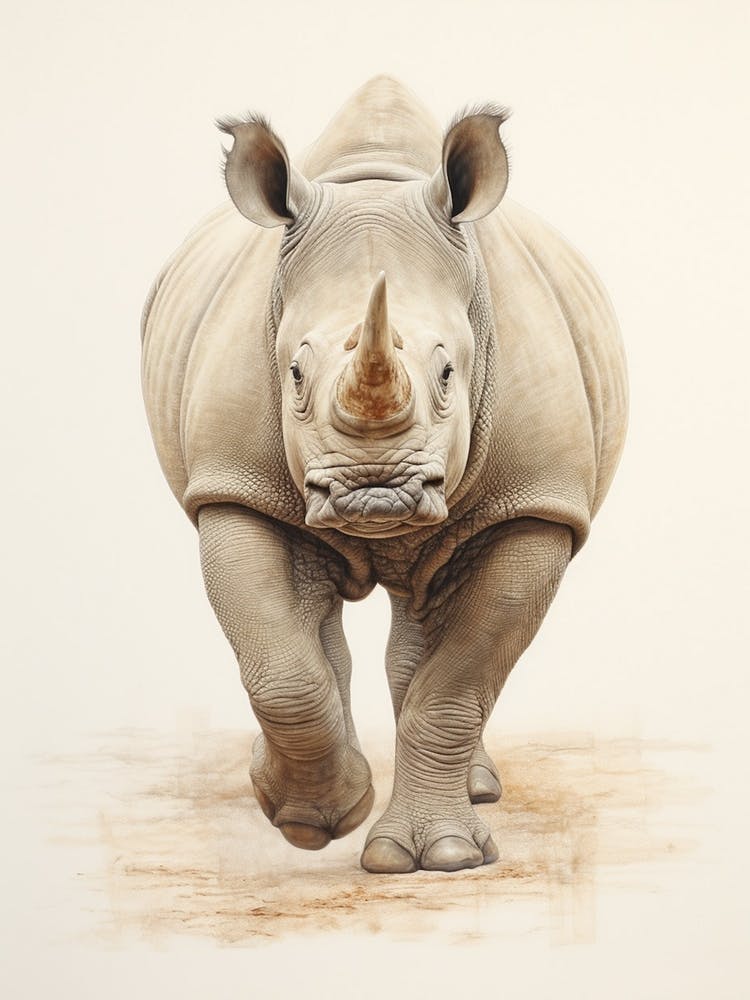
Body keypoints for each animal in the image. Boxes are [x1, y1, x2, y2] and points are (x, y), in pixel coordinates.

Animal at [141, 76, 627, 874]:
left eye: (449, 372)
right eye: (295, 373)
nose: (374, 491)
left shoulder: (534, 505)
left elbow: (457, 683)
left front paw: (444, 858)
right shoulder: (235, 487)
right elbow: (283, 670)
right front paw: (314, 818)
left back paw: (476, 794)